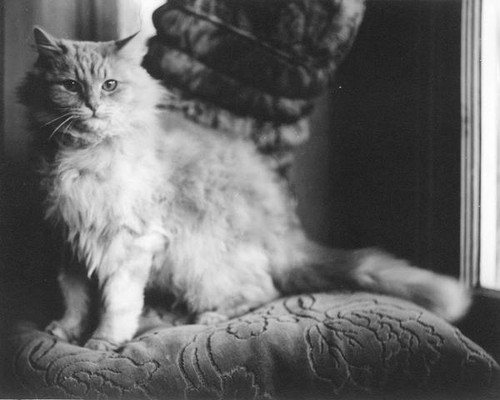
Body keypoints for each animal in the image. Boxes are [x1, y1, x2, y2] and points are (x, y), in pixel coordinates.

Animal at [19, 25, 470, 350]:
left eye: (110, 85)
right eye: (71, 86)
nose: (93, 105)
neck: (81, 157)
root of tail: (286, 233)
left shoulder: (129, 244)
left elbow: (116, 305)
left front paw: (101, 342)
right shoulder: (69, 242)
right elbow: (74, 299)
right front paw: (65, 331)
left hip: (198, 260)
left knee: (263, 290)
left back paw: (206, 317)